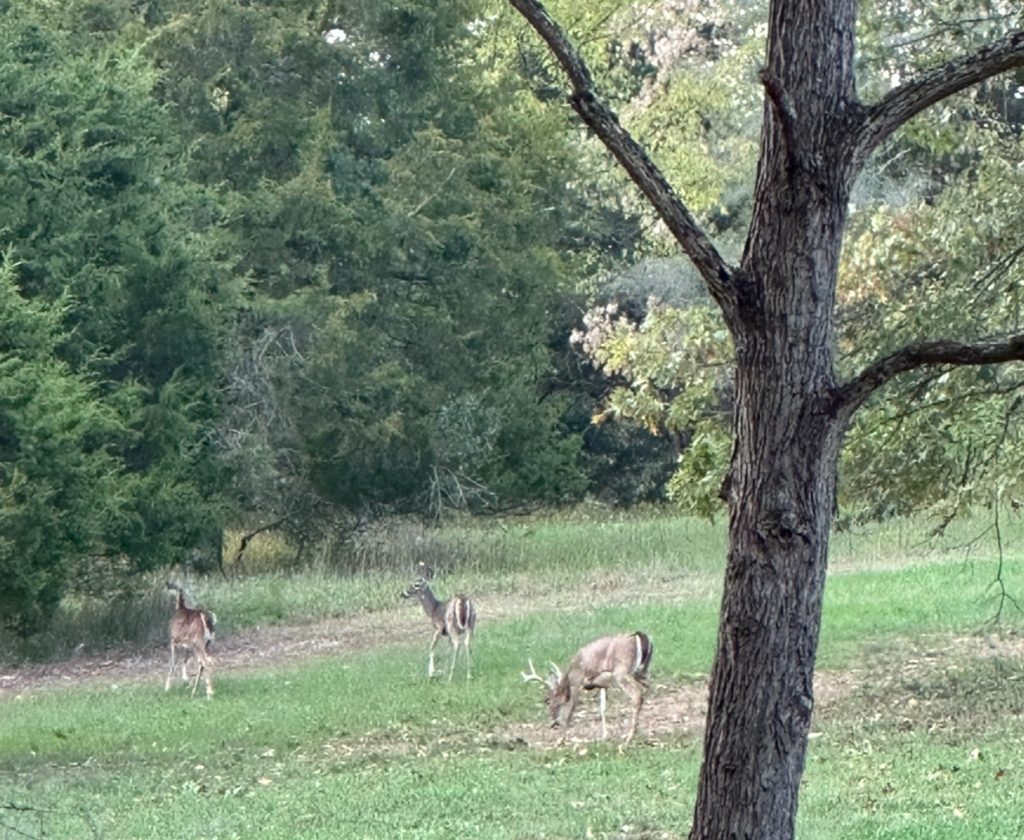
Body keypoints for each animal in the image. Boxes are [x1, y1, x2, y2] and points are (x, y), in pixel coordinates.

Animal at [520, 635, 655, 745]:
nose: (553, 723)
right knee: (647, 690)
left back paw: (629, 737)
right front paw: (605, 736)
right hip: (641, 672)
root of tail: (640, 638)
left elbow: (570, 712)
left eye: (549, 701)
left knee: (637, 696)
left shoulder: (577, 682)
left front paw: (561, 740)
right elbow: (602, 708)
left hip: (621, 673)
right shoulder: (602, 685)